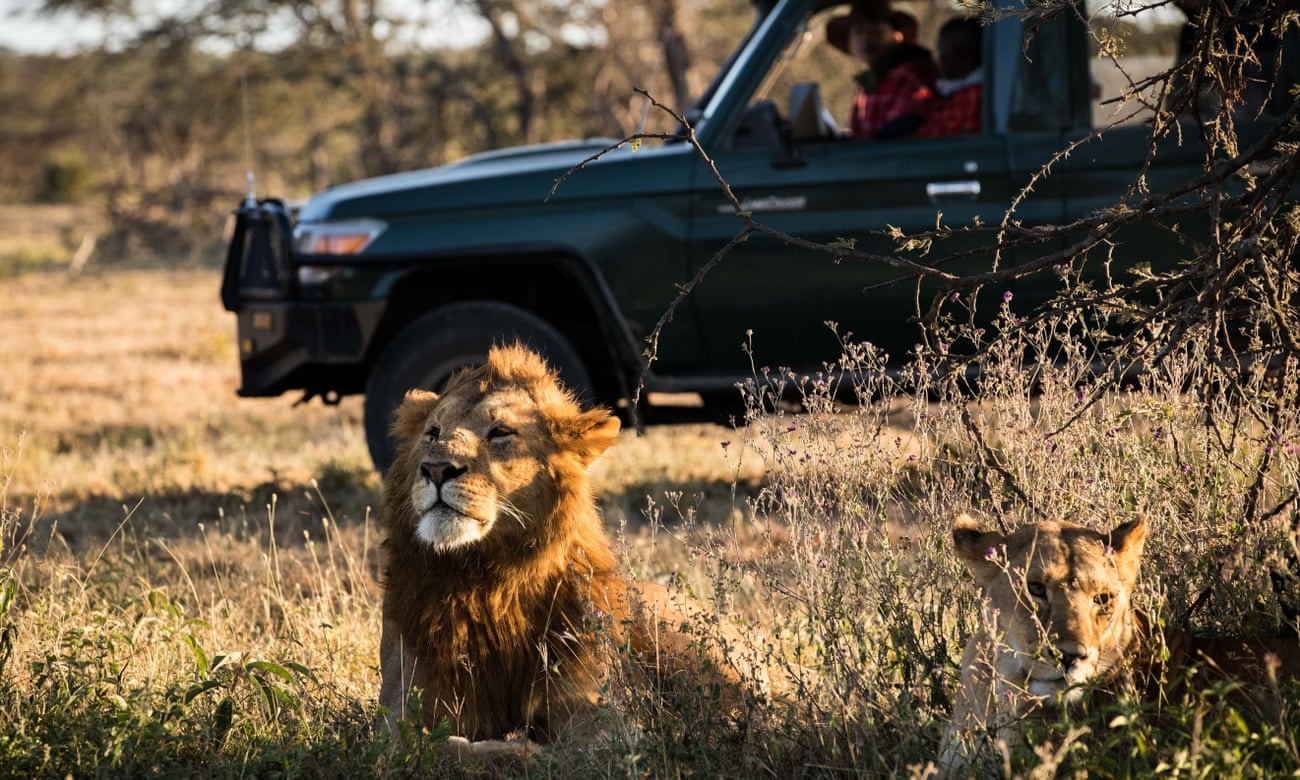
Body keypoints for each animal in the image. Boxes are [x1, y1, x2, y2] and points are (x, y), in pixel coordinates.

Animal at [377, 343, 759, 759]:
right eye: (433, 433)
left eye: (500, 432)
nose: (436, 469)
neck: (487, 581)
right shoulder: (398, 713)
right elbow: (431, 747)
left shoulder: (606, 719)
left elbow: (540, 754)